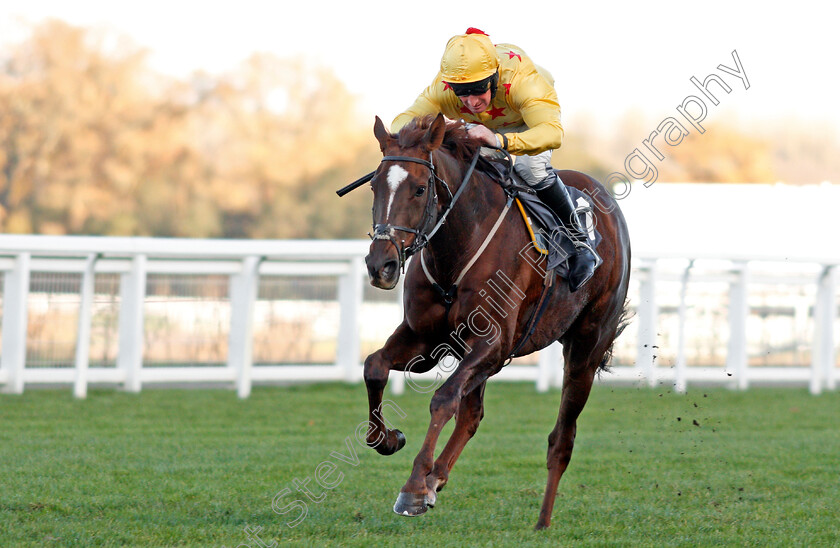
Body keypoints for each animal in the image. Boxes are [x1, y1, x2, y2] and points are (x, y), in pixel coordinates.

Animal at [360, 113, 632, 528]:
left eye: (420, 189)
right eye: (375, 186)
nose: (382, 265)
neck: (458, 248)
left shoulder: (493, 342)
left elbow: (443, 399)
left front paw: (413, 487)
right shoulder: (427, 341)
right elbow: (375, 367)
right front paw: (389, 441)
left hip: (586, 346)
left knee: (562, 438)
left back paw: (542, 520)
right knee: (472, 414)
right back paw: (437, 478)